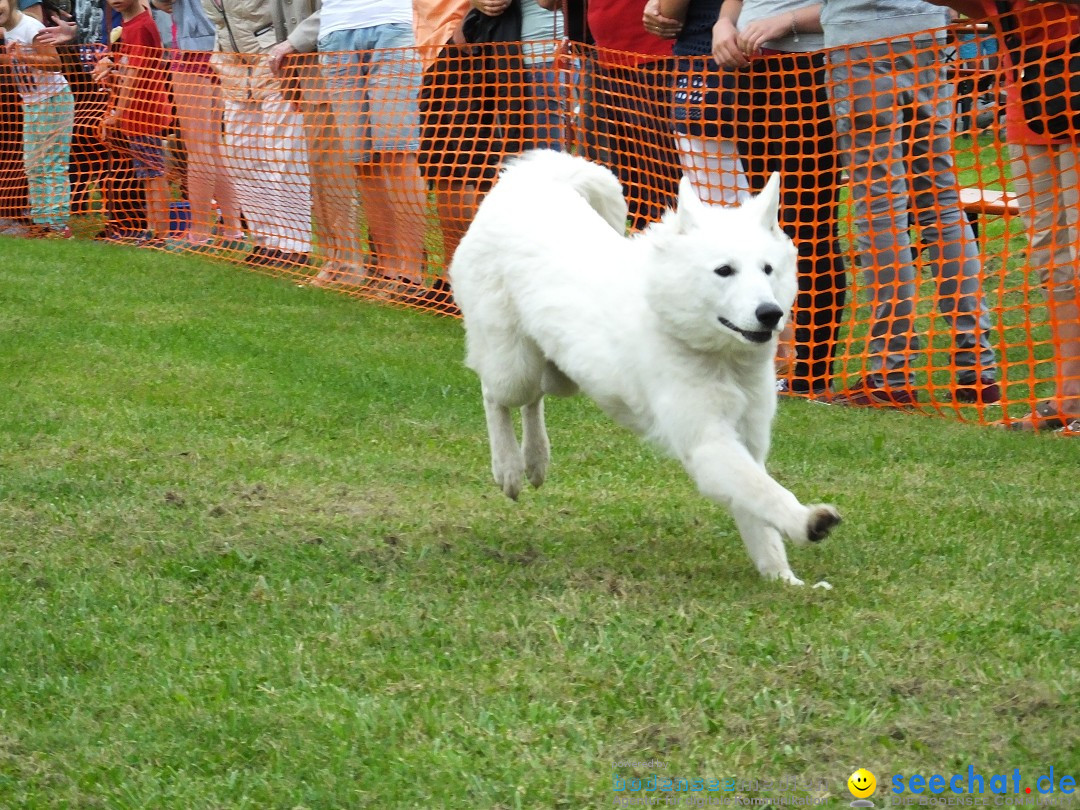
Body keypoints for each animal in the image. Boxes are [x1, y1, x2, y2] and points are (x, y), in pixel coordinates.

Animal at [451, 149, 838, 587]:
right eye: (725, 270)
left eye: (768, 270)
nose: (770, 313)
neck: (717, 357)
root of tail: (531, 180)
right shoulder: (707, 442)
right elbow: (765, 492)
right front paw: (808, 523)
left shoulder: (747, 441)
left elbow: (758, 514)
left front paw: (783, 579)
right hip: (514, 366)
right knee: (495, 396)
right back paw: (510, 468)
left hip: (560, 372)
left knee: (535, 402)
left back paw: (536, 460)